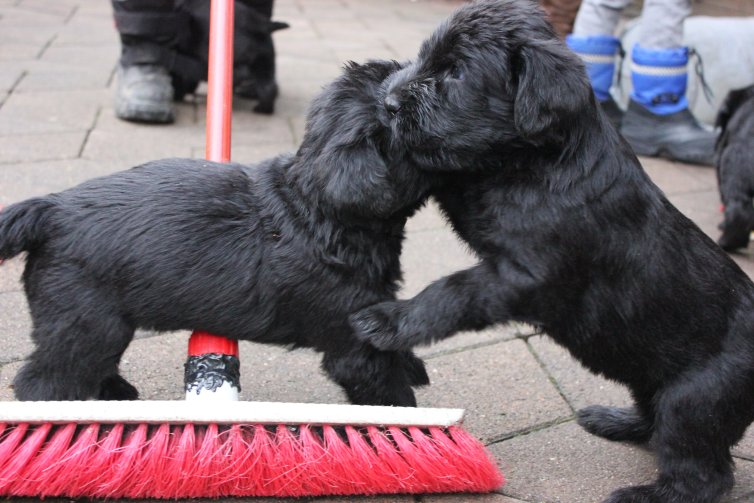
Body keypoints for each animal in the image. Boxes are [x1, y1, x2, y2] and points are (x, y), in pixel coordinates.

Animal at [0, 59, 432, 408]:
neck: (317, 207)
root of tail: (52, 208)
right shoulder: (351, 340)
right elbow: (386, 389)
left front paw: (410, 363)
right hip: (86, 323)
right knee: (45, 378)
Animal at [350, 1, 752, 502]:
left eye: (456, 73)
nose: (386, 103)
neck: (546, 156)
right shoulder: (482, 200)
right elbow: (455, 178)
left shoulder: (526, 273)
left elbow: (454, 290)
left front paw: (390, 321)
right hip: (649, 373)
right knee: (654, 417)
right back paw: (617, 421)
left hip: (695, 400)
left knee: (702, 472)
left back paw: (646, 493)